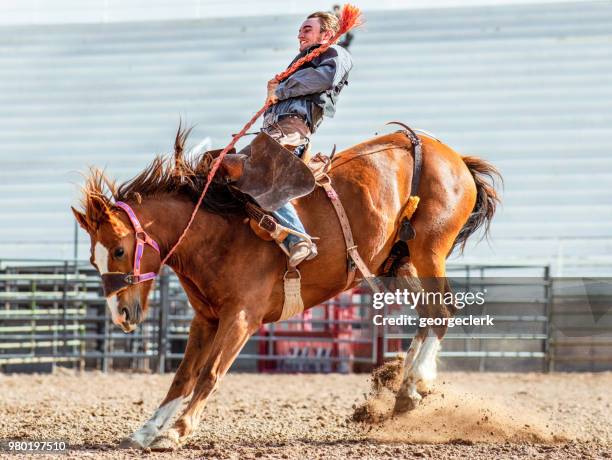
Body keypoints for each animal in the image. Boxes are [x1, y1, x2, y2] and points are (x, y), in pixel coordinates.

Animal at [73, 123, 502, 450]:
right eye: (94, 258)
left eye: (119, 249)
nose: (121, 314)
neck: (216, 229)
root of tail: (453, 158)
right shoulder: (205, 320)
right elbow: (183, 375)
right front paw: (146, 430)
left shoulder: (241, 318)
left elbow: (210, 373)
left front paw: (176, 431)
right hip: (402, 260)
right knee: (430, 314)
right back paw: (404, 389)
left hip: (428, 249)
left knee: (441, 312)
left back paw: (412, 384)